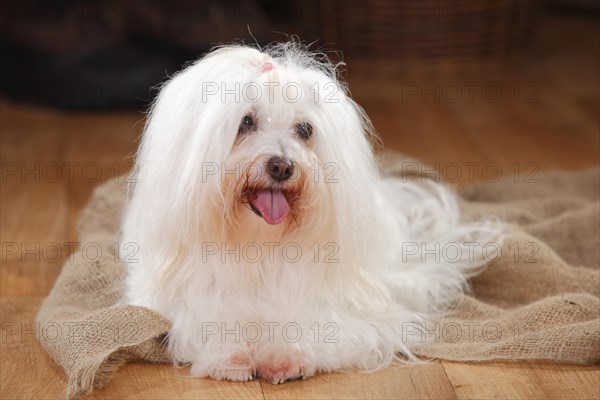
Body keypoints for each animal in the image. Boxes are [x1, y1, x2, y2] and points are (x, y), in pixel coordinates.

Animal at [120, 42, 496, 382]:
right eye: (245, 122)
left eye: (304, 130)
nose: (282, 166)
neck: (258, 245)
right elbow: (205, 326)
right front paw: (229, 357)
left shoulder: (351, 314)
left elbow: (317, 329)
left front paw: (285, 356)